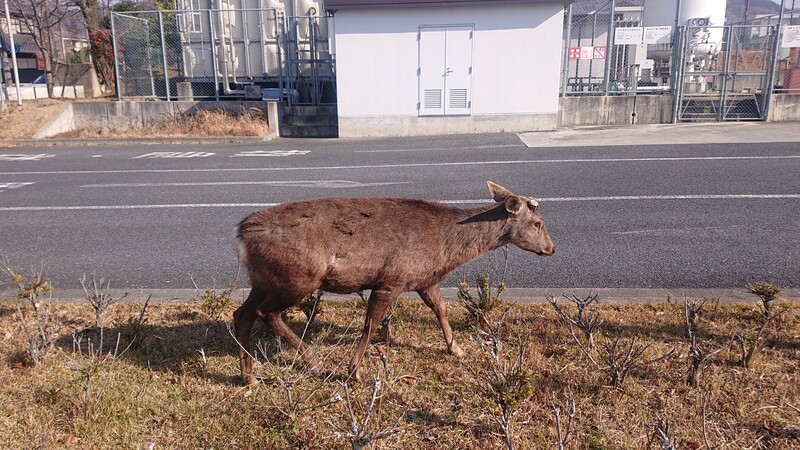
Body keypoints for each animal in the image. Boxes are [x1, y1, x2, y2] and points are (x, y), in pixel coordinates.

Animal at [233, 181, 555, 384]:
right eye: (538, 223)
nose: (551, 248)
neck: (445, 250)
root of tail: (242, 235)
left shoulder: (424, 279)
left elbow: (441, 310)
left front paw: (457, 349)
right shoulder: (391, 279)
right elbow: (371, 325)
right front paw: (353, 371)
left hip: (262, 279)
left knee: (242, 313)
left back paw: (249, 376)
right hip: (299, 275)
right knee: (267, 313)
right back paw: (312, 362)